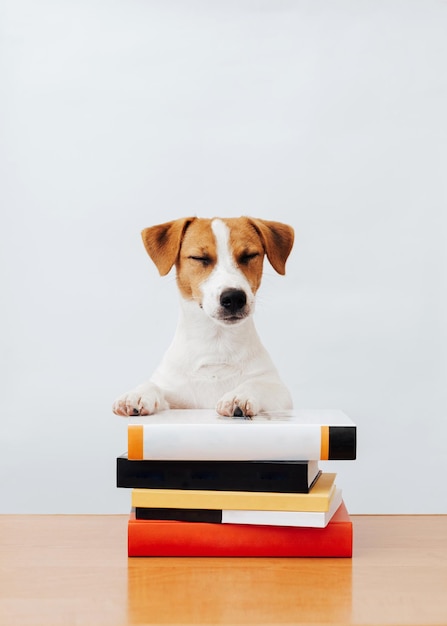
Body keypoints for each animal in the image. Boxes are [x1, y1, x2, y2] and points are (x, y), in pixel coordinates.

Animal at [112, 217, 294, 416]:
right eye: (200, 258)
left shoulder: (280, 392)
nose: (234, 297)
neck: (216, 343)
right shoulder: (178, 396)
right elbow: (154, 385)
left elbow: (256, 384)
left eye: (249, 256)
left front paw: (239, 396)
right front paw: (137, 394)